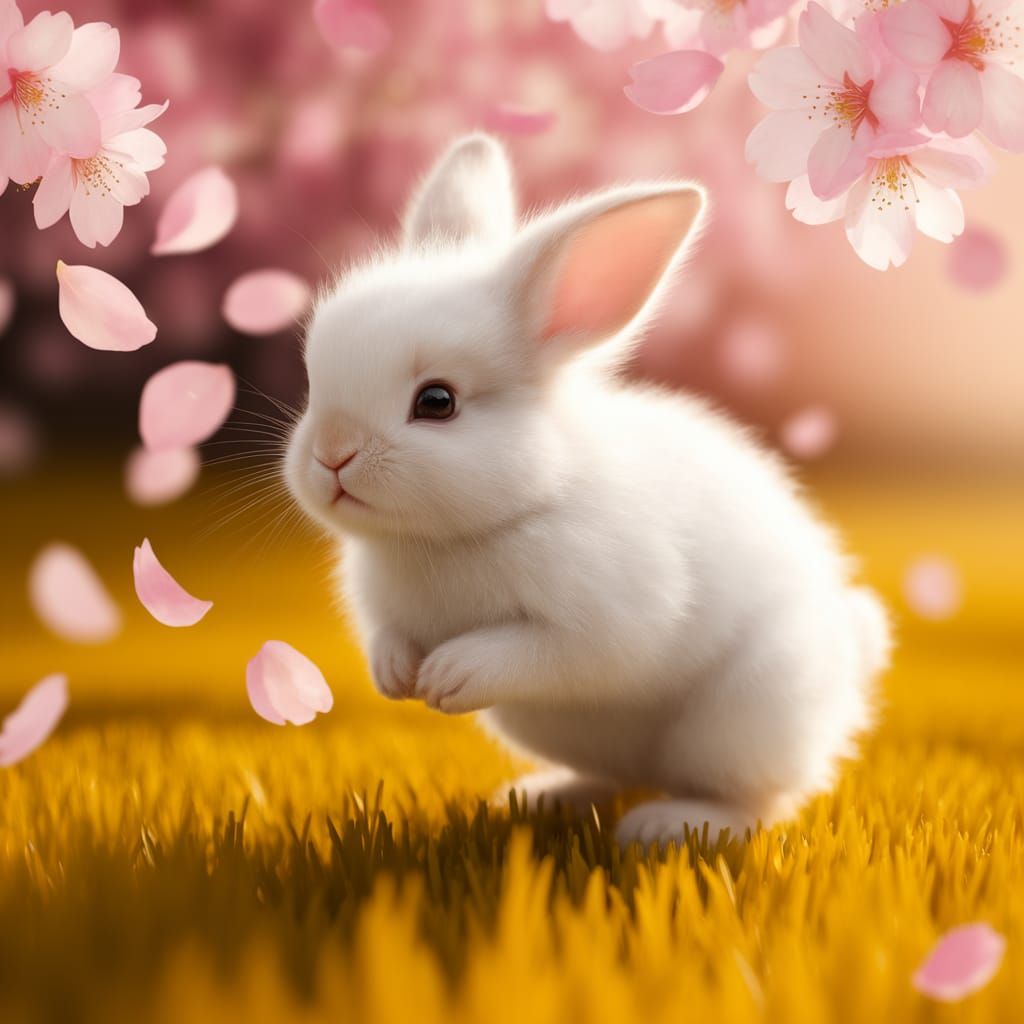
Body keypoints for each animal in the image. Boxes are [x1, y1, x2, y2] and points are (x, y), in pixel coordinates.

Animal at [284, 133, 891, 847]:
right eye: (313, 381)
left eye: (437, 402)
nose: (331, 456)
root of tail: (850, 652)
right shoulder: (385, 612)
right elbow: (389, 637)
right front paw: (398, 676)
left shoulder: (611, 616)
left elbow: (548, 652)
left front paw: (448, 675)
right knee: (612, 775)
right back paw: (543, 796)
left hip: (743, 718)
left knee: (759, 801)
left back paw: (668, 825)